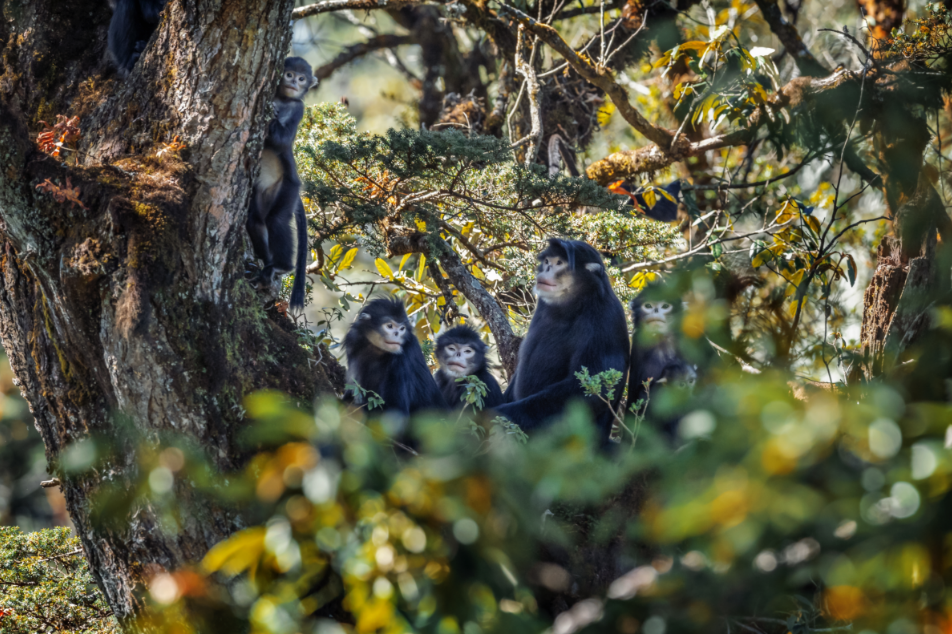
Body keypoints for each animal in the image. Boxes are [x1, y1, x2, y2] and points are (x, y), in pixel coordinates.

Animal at [245, 56, 316, 312]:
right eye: (289, 74)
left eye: (302, 78)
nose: (294, 83)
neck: (284, 98)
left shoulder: (298, 108)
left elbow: (282, 139)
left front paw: (273, 116)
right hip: (263, 194)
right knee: (255, 220)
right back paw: (266, 266)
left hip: (288, 188)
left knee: (276, 220)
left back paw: (281, 266)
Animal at [490, 238, 632, 444]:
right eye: (547, 261)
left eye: (559, 263)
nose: (546, 269)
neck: (575, 304)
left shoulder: (605, 319)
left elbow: (591, 391)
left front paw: (497, 414)